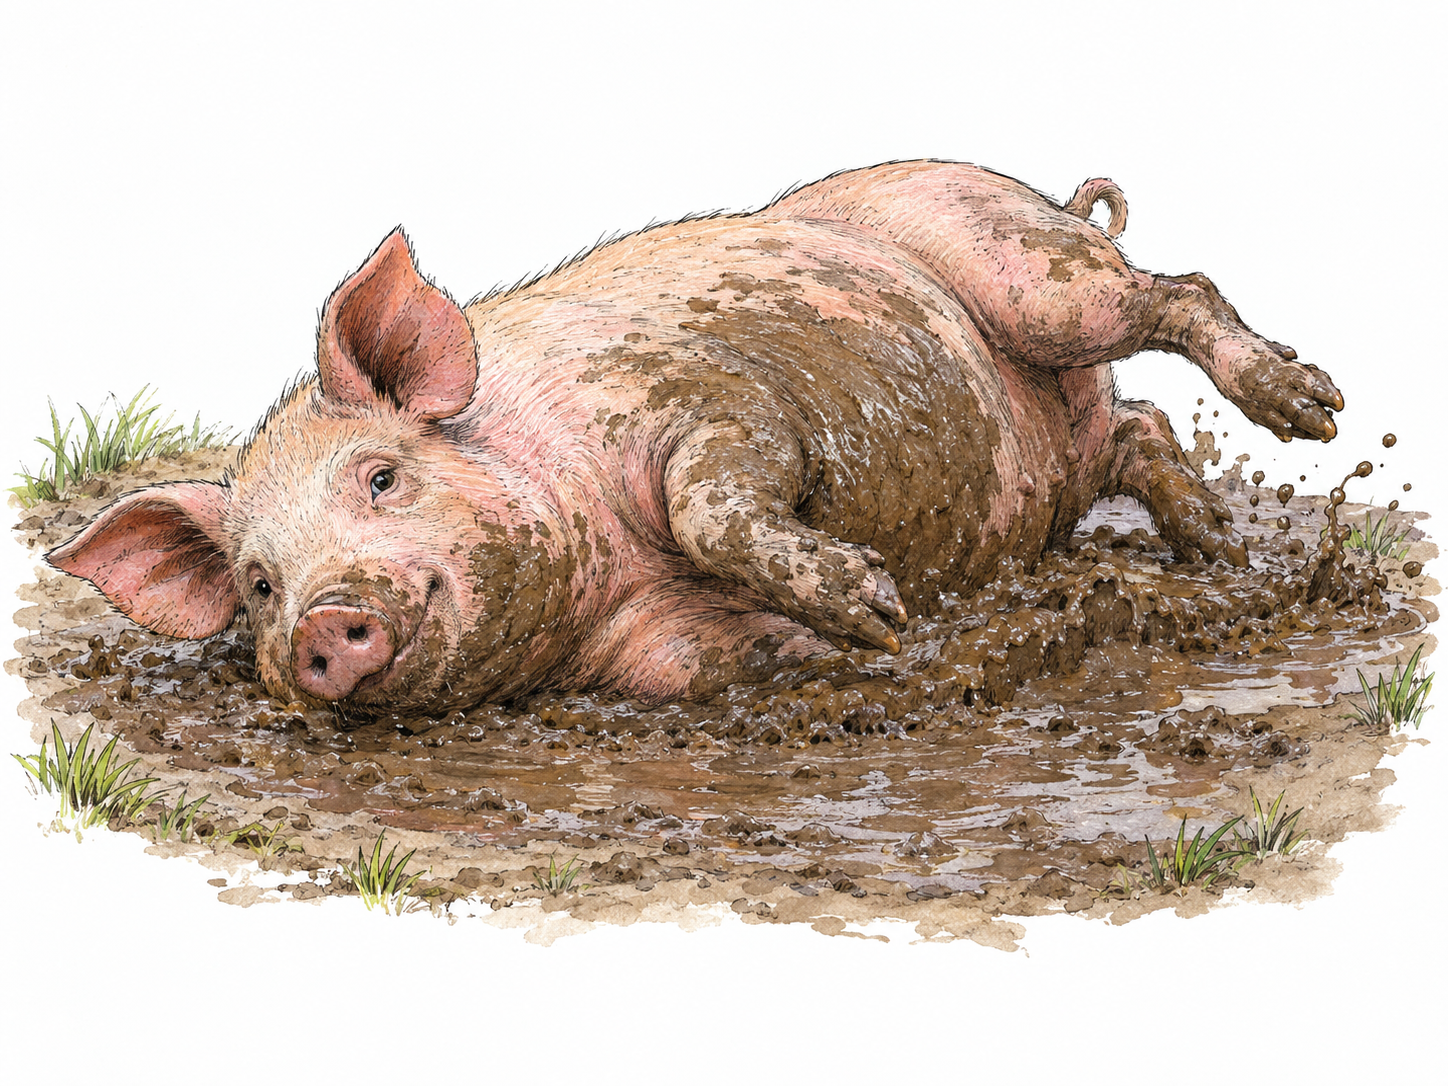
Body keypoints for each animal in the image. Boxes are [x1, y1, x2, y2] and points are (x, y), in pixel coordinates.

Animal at [48, 160, 1343, 710]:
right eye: (258, 584)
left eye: (380, 476)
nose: (324, 622)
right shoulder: (644, 650)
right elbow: (709, 664)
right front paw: (868, 646)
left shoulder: (718, 404)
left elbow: (713, 497)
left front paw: (872, 603)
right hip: (1062, 446)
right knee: (1136, 427)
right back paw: (1214, 545)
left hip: (1032, 274)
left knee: (1171, 295)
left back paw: (1309, 413)